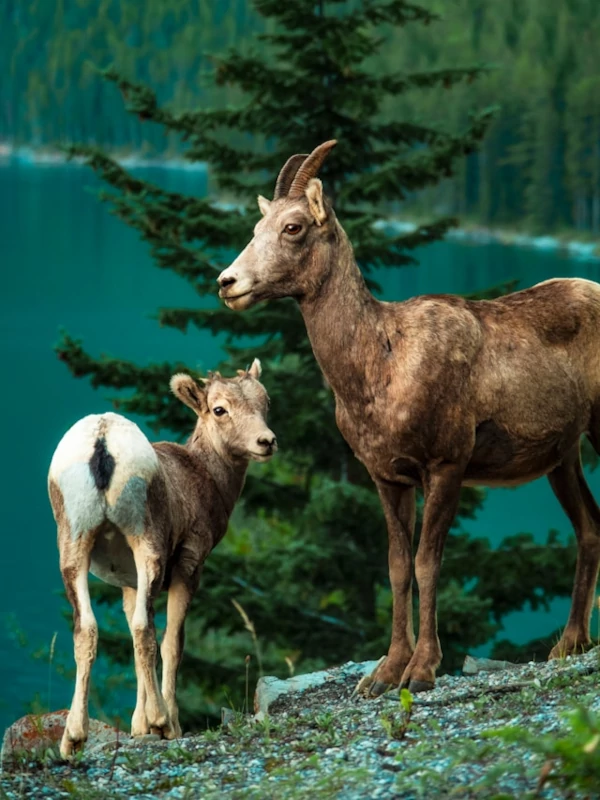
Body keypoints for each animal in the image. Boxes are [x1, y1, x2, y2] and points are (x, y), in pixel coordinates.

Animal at [48, 360, 276, 758]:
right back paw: (162, 721)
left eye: (266, 402)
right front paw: (162, 724)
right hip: (147, 543)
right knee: (145, 629)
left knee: (87, 630)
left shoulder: (128, 583)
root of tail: (102, 440)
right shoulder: (189, 564)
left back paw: (73, 738)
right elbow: (171, 642)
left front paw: (138, 727)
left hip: (73, 544)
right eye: (219, 409)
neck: (205, 478)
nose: (266, 442)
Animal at [218, 139, 600, 697]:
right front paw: (382, 674)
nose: (228, 283)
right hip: (564, 457)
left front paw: (421, 671)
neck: (380, 368)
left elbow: (427, 562)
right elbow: (397, 568)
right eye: (255, 228)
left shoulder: (446, 465)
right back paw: (567, 644)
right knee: (589, 528)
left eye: (293, 227)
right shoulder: (387, 476)